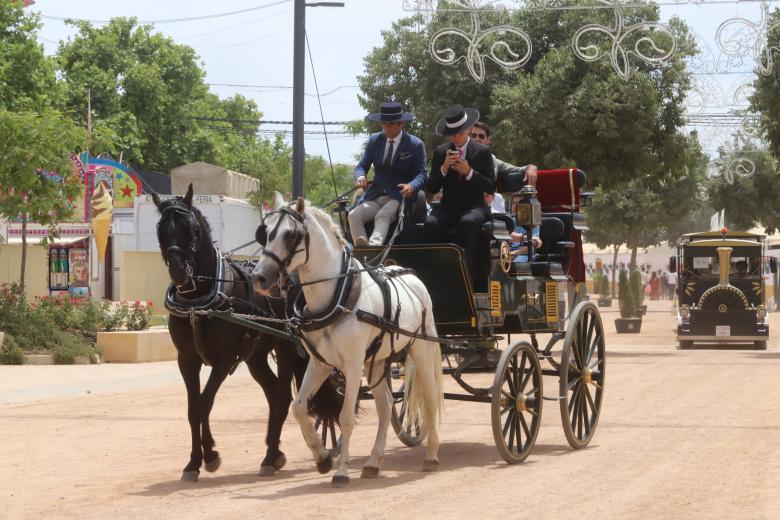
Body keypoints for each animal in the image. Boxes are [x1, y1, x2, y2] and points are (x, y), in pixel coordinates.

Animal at [152, 185, 342, 482]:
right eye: (161, 228)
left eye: (191, 227)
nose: (179, 272)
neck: (199, 301)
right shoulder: (187, 360)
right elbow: (193, 409)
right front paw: (194, 462)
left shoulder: (225, 359)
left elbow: (205, 402)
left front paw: (210, 455)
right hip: (256, 357)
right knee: (274, 395)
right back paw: (274, 453)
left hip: (287, 350)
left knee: (283, 397)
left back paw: (270, 456)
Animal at [253, 195, 442, 488]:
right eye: (265, 232)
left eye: (291, 234)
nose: (259, 277)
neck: (337, 298)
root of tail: (411, 276)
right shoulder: (320, 364)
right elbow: (298, 408)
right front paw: (322, 458)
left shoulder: (352, 366)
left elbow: (345, 417)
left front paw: (341, 471)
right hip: (376, 361)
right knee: (386, 406)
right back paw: (373, 462)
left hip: (421, 350)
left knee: (430, 399)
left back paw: (431, 456)